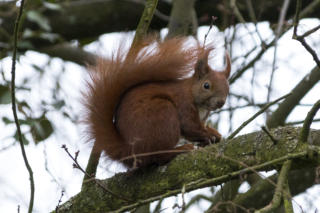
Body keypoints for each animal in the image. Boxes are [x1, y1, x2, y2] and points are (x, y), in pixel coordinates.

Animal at [84, 37, 230, 169]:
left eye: (228, 88)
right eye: (206, 85)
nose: (220, 102)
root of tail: (131, 152)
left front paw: (214, 134)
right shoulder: (184, 103)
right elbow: (190, 127)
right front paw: (209, 135)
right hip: (163, 113)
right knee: (158, 156)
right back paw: (180, 149)